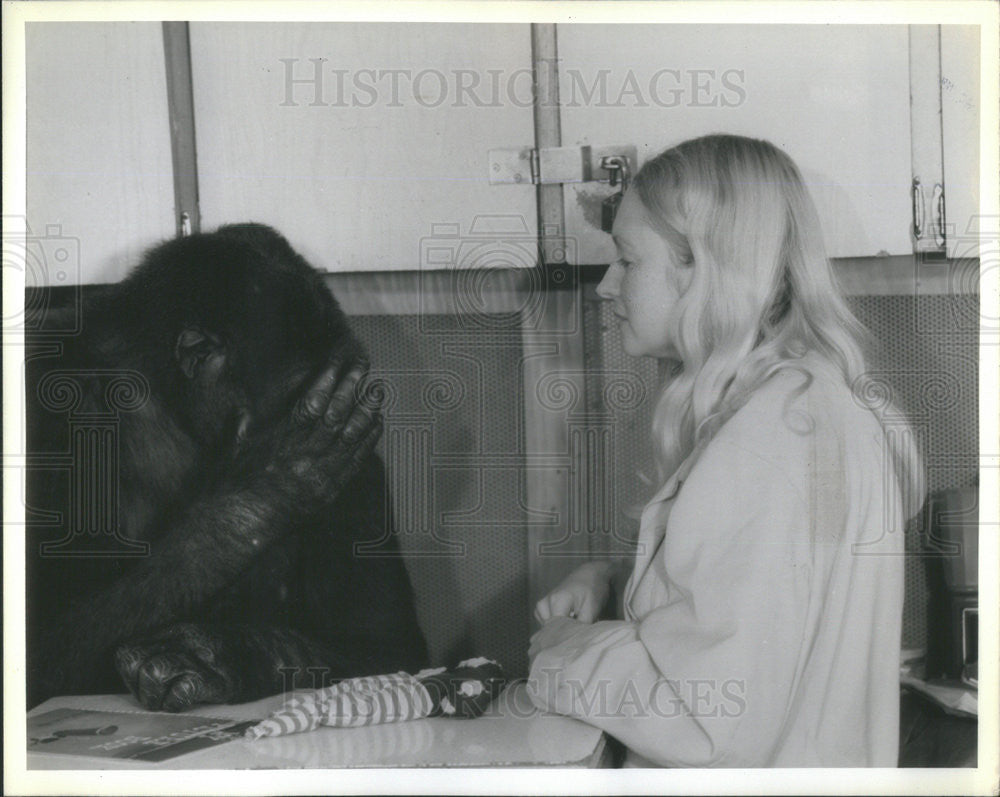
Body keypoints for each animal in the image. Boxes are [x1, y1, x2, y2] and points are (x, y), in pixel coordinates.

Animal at [27, 222, 426, 708]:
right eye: (292, 398)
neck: (166, 398)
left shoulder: (358, 454)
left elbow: (384, 646)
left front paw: (217, 656)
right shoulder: (49, 403)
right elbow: (42, 637)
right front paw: (269, 487)